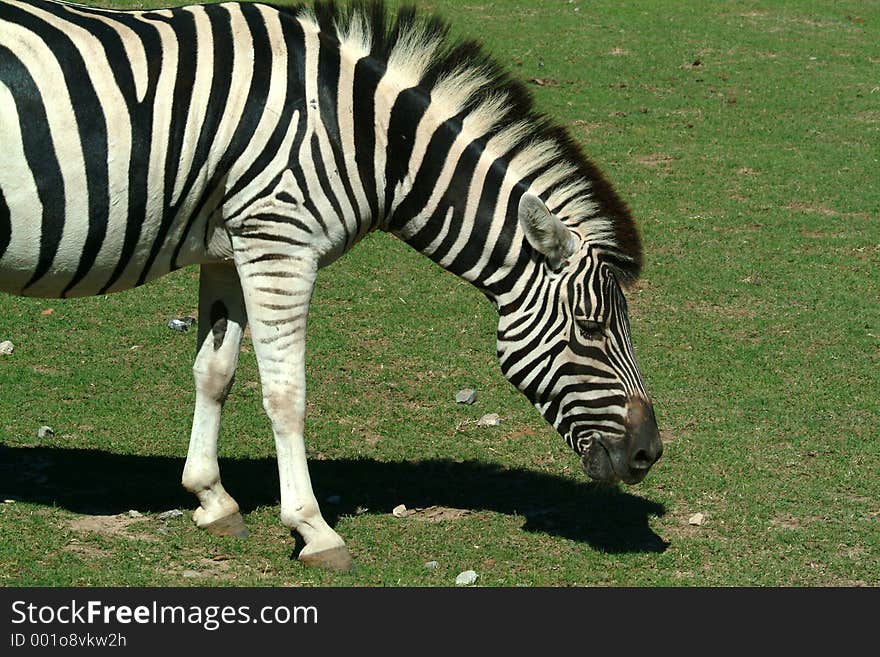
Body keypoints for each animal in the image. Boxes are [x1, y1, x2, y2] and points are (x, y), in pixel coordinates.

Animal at [0, 0, 660, 568]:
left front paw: (212, 499)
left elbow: (215, 372)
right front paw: (313, 529)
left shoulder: (233, 246)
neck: (358, 134)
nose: (650, 453)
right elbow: (286, 393)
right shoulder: (280, 243)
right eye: (591, 328)